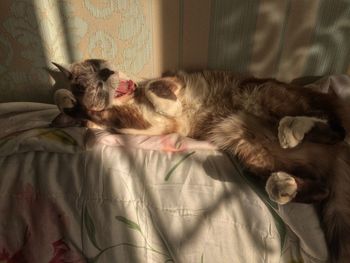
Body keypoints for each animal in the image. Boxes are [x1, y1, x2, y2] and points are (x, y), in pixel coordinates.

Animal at [52, 59, 350, 263]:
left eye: (97, 66)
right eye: (87, 84)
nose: (105, 74)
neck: (126, 102)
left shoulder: (168, 83)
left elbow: (155, 89)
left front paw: (66, 99)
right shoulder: (142, 126)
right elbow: (93, 114)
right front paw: (69, 102)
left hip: (259, 93)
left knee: (335, 128)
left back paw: (290, 130)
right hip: (249, 152)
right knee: (322, 185)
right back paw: (283, 185)